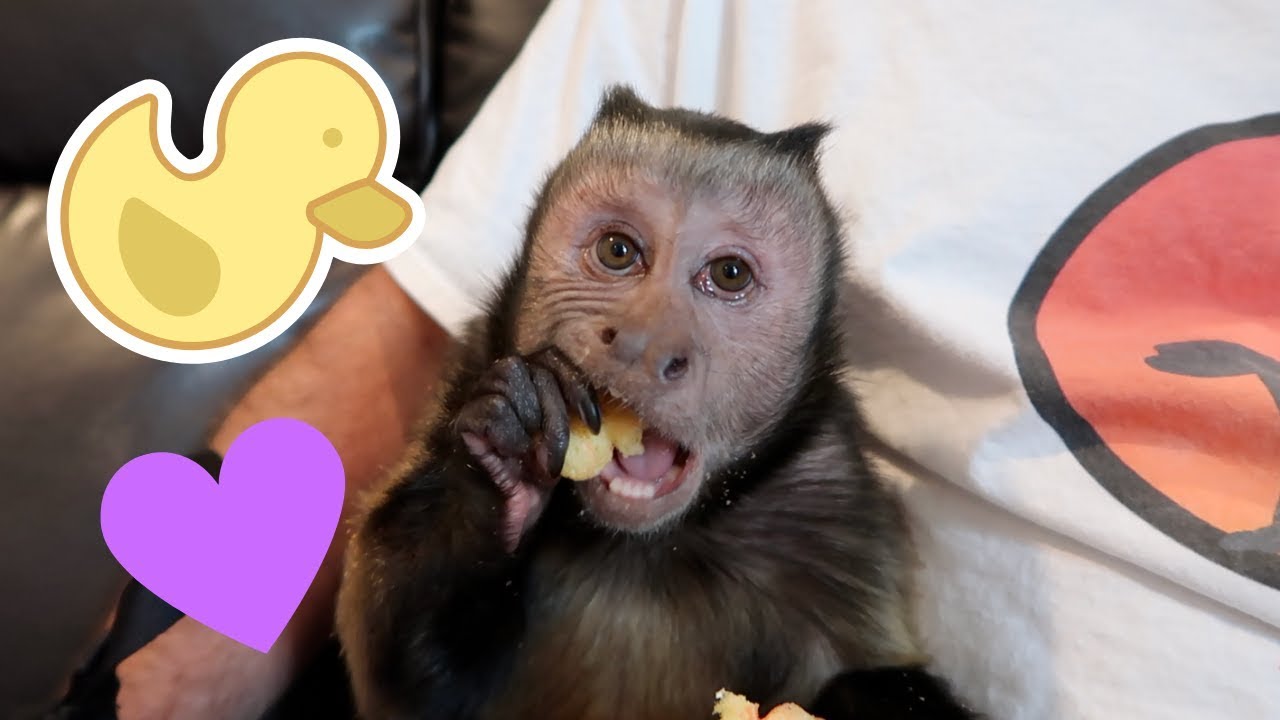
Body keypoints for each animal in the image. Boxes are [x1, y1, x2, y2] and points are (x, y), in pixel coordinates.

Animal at [334, 85, 984, 720]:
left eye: (729, 274)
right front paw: (506, 444)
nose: (642, 343)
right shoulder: (472, 364)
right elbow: (411, 694)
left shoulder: (835, 520)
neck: (650, 540)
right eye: (618, 251)